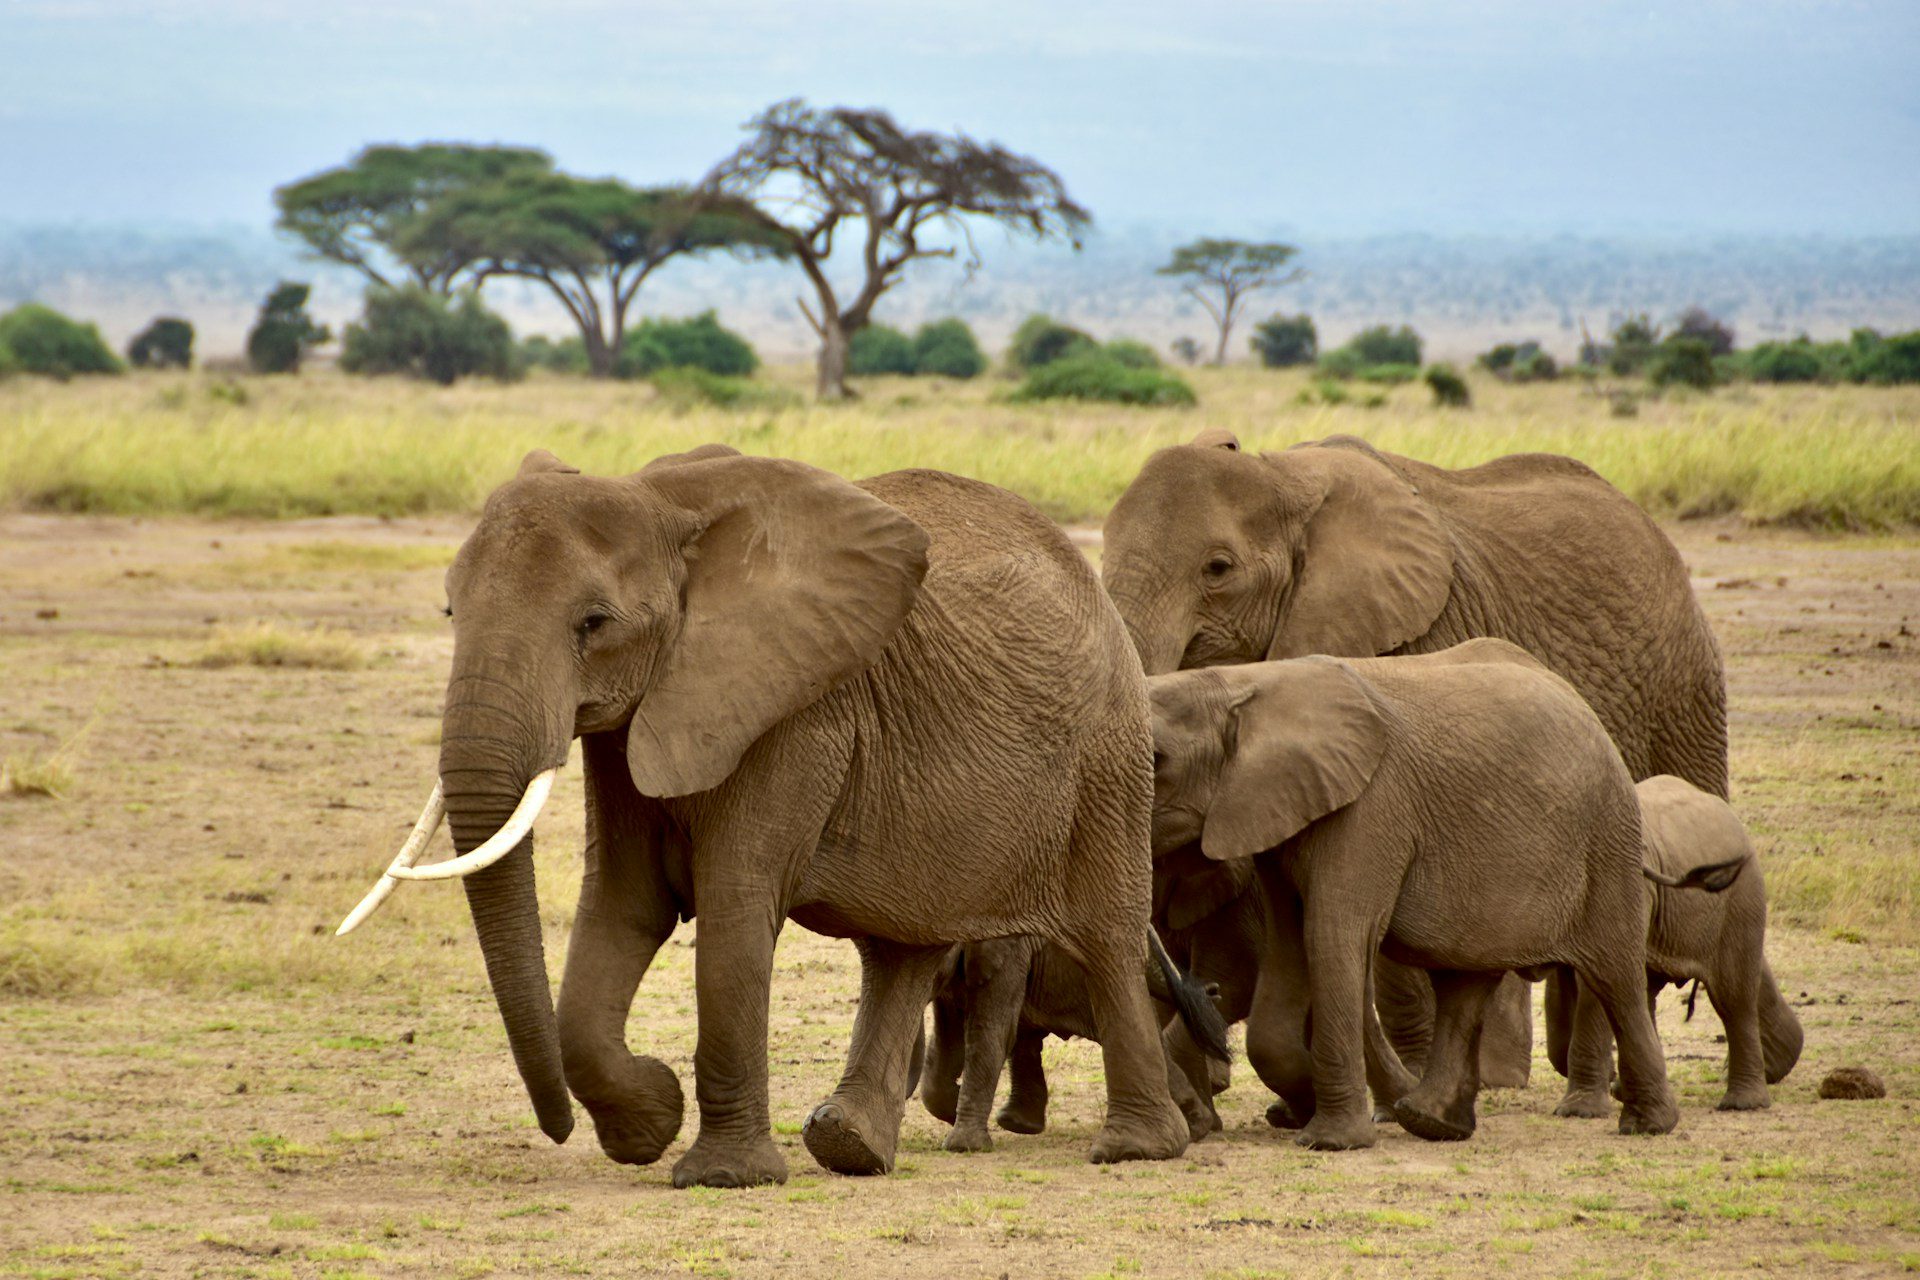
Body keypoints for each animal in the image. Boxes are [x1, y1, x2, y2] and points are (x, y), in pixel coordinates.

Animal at [337, 445, 1194, 1188]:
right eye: (450, 609)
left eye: (593, 624)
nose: (559, 1129)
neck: (664, 508)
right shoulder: (641, 717)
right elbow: (622, 906)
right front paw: (648, 1120)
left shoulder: (798, 711)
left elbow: (733, 908)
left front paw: (720, 1176)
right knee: (903, 944)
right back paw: (851, 1147)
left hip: (1107, 755)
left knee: (1108, 937)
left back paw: (1137, 1149)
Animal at [1147, 638, 1682, 1150]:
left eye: (1158, 761)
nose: (1204, 994)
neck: (1244, 683)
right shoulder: (1274, 823)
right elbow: (1288, 949)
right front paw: (1303, 1106)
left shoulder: (1369, 808)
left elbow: (1332, 935)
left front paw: (1330, 1141)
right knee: (1466, 983)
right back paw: (1431, 1122)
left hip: (1606, 840)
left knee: (1616, 976)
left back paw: (1648, 1125)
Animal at [1549, 775, 1803, 1114]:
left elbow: (1599, 980)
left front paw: (1579, 1112)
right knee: (1647, 992)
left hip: (1742, 897)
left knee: (1733, 996)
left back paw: (1742, 1104)